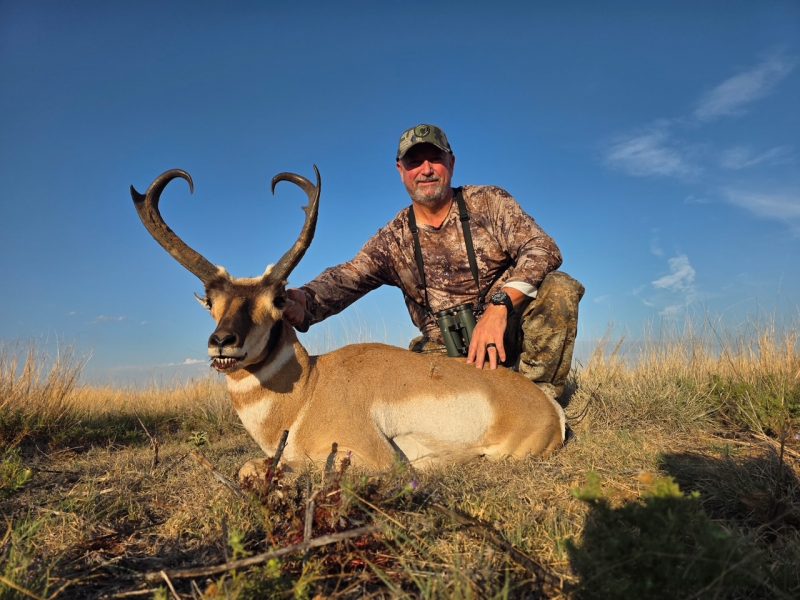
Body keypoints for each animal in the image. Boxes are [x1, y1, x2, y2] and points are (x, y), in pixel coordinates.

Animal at [130, 167, 566, 474]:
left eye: (276, 301)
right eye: (211, 301)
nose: (223, 341)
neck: (309, 389)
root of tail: (545, 404)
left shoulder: (370, 457)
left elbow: (261, 467)